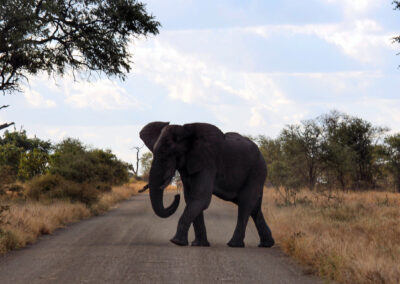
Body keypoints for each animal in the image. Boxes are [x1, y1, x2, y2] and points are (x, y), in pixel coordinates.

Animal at [139, 122, 274, 248]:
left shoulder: (208, 163)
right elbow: (191, 198)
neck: (187, 133)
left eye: (171, 154)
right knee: (254, 208)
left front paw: (176, 242)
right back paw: (266, 244)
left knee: (245, 204)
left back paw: (234, 245)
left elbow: (200, 198)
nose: (176, 196)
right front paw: (199, 244)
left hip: (257, 172)